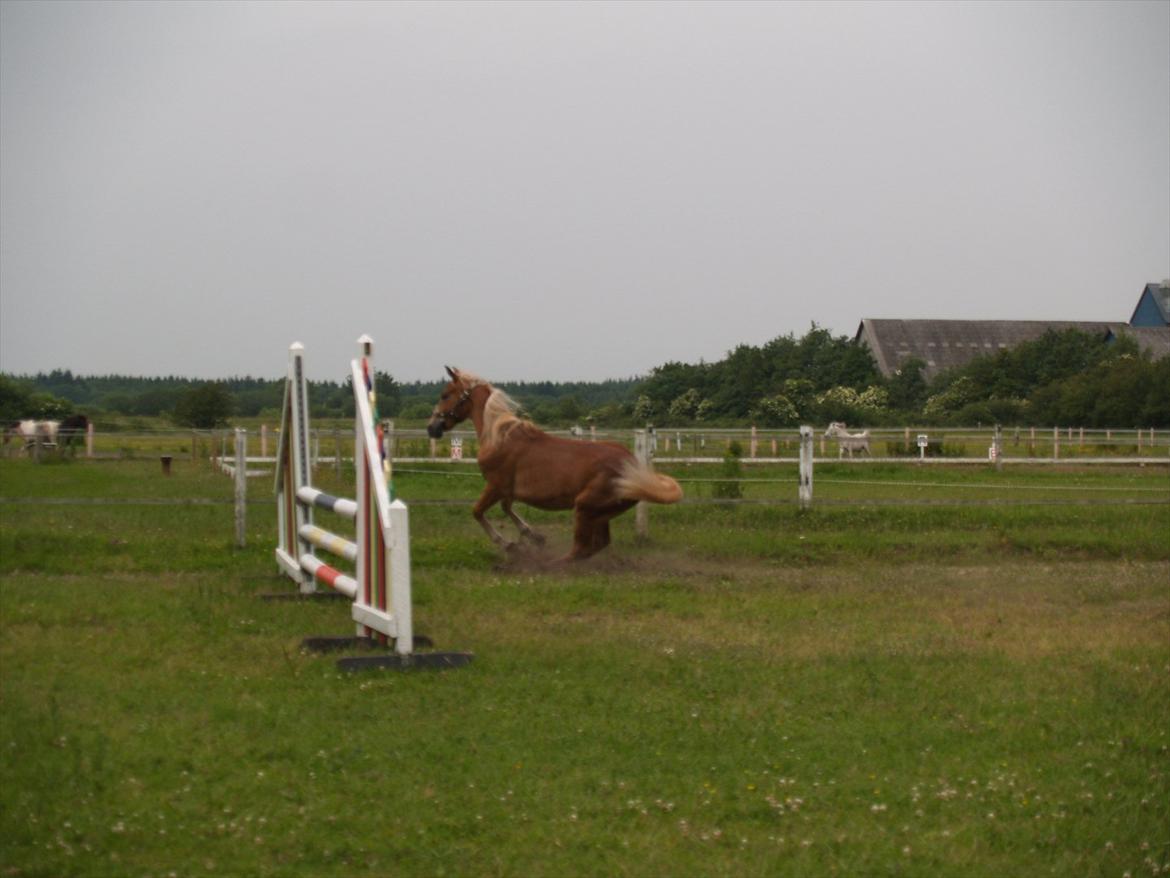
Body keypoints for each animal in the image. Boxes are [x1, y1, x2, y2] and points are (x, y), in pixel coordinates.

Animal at [427, 367, 682, 562]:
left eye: (445, 395)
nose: (432, 428)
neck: (499, 435)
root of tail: (634, 468)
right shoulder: (507, 490)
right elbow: (507, 508)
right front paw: (533, 537)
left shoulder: (496, 485)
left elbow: (478, 511)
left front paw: (509, 544)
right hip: (599, 513)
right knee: (597, 544)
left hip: (584, 507)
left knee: (581, 548)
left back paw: (553, 565)